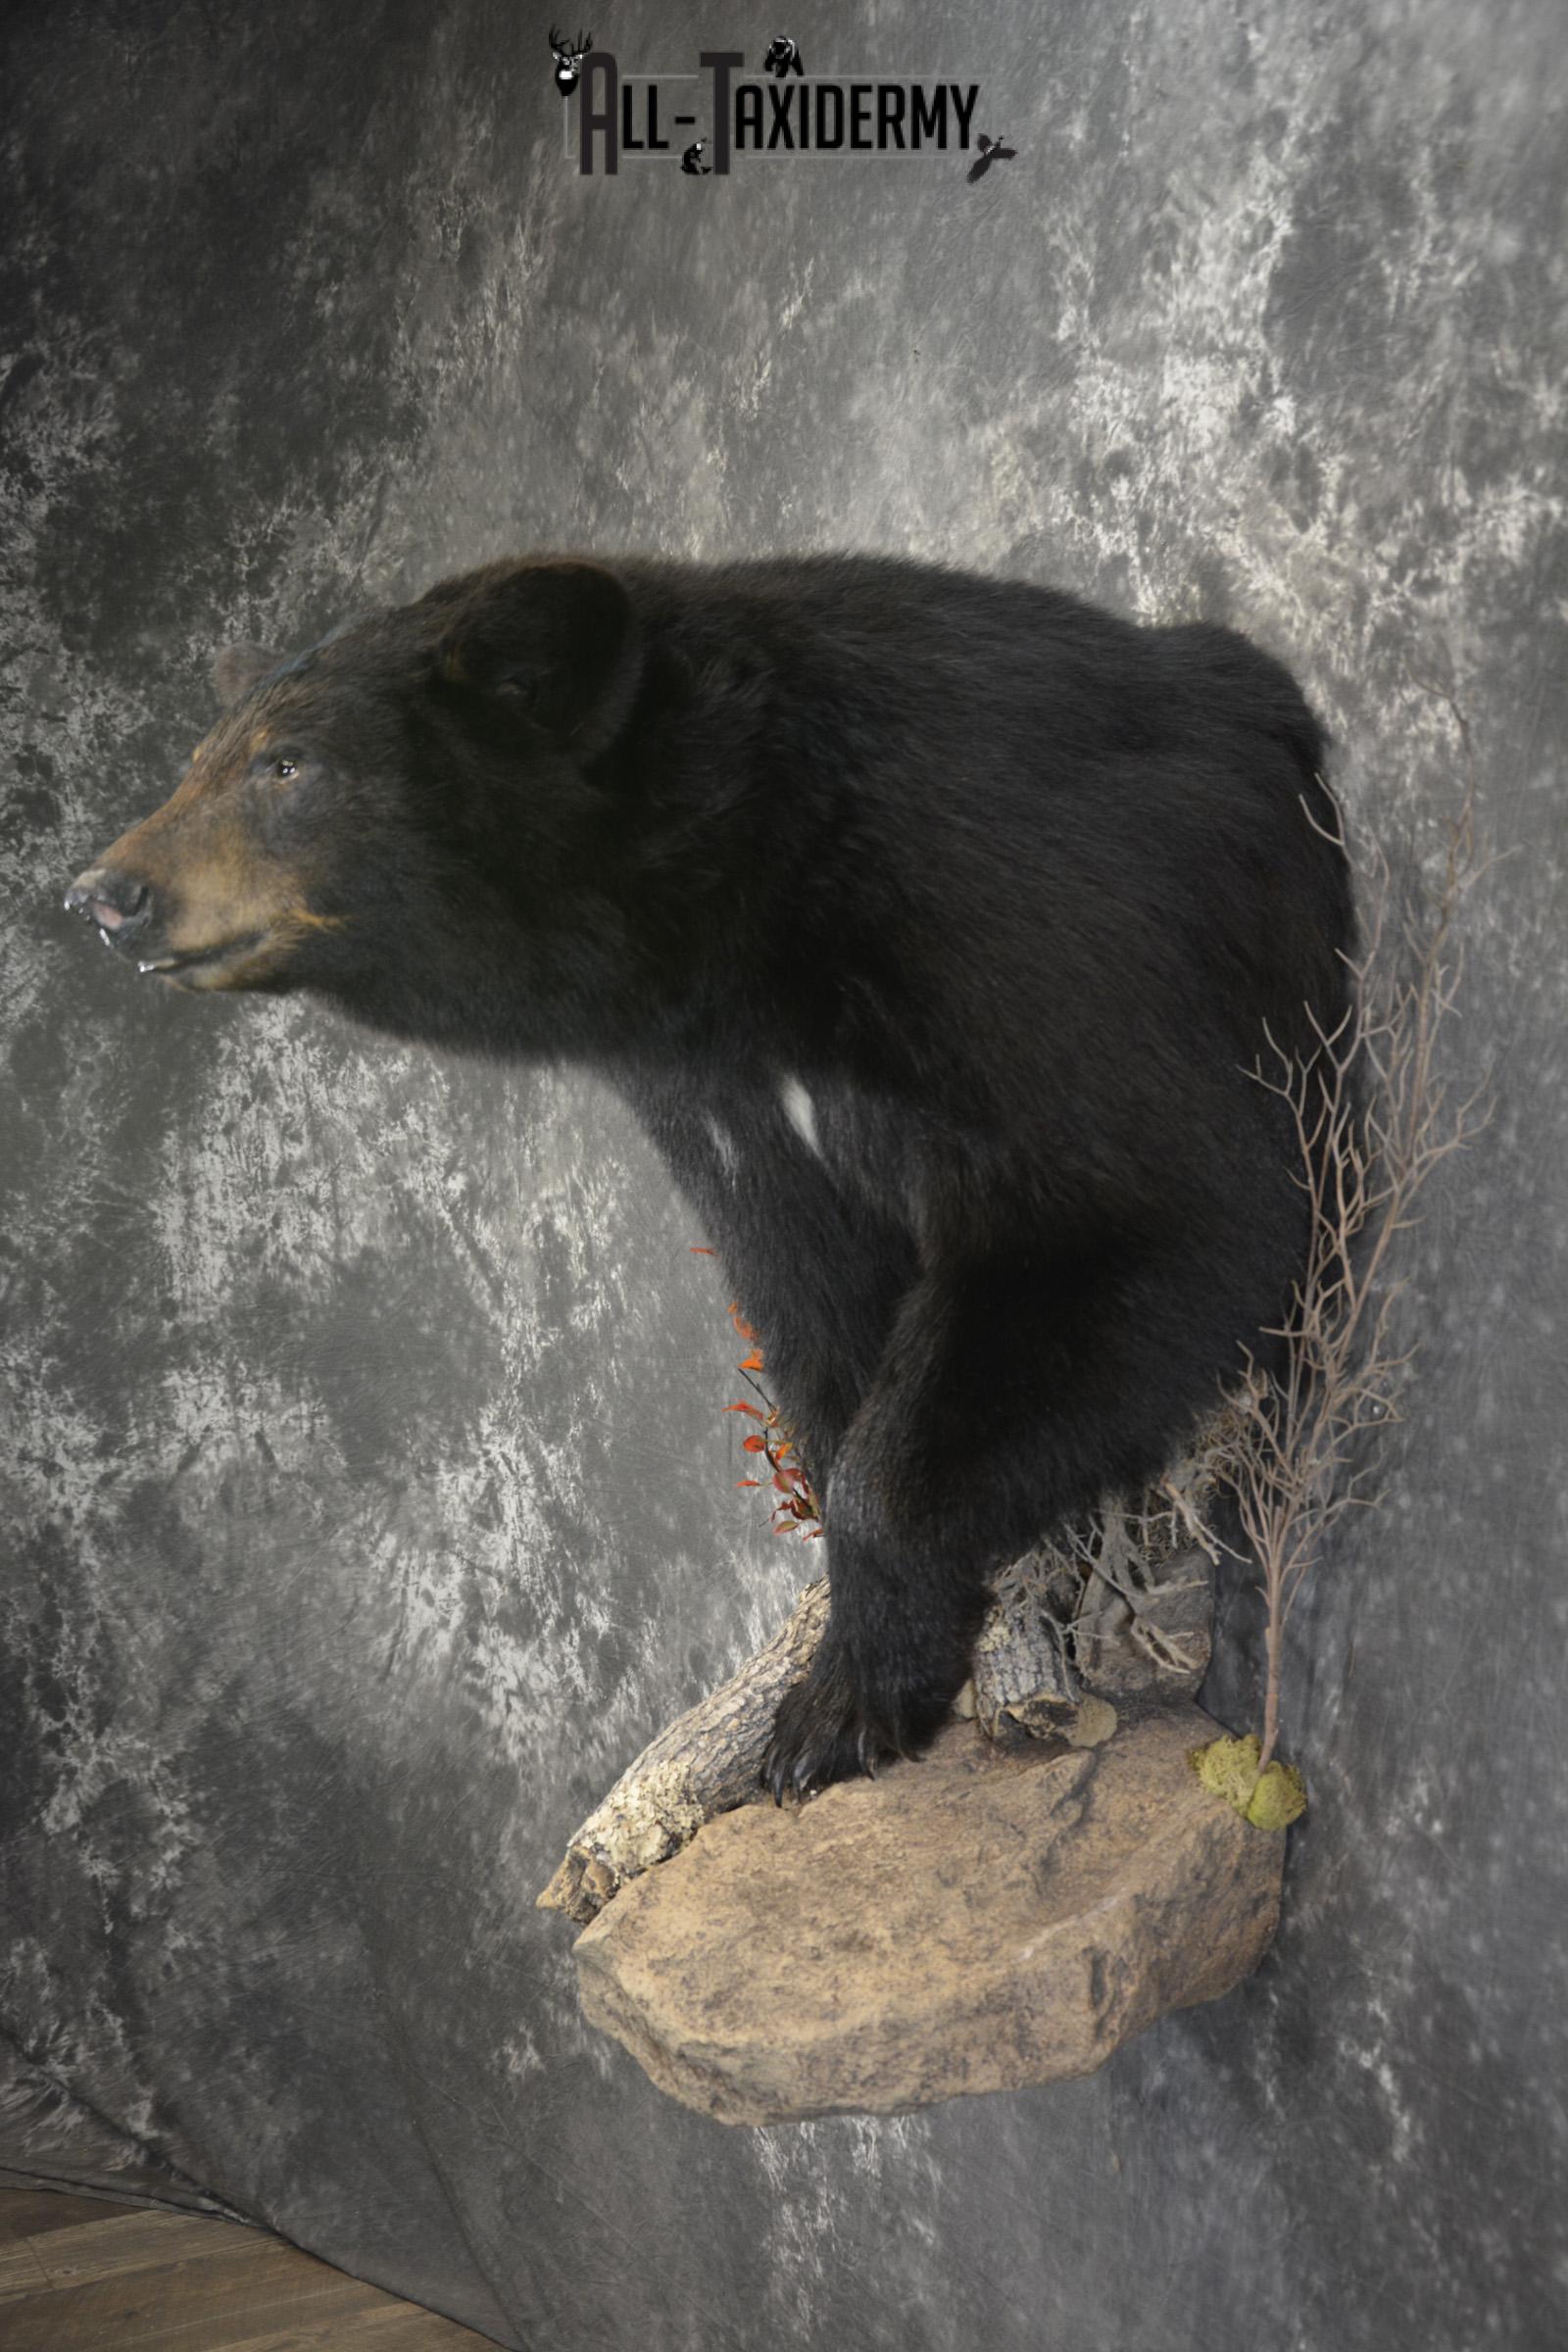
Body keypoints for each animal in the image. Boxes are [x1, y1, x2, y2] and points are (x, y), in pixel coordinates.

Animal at [63, 551, 1354, 1798]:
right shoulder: (718, 1093)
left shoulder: (1017, 930)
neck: (759, 906)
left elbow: (1151, 1207)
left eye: (289, 764)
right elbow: (811, 1304)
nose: (104, 894)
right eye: (200, 761)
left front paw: (838, 1705)